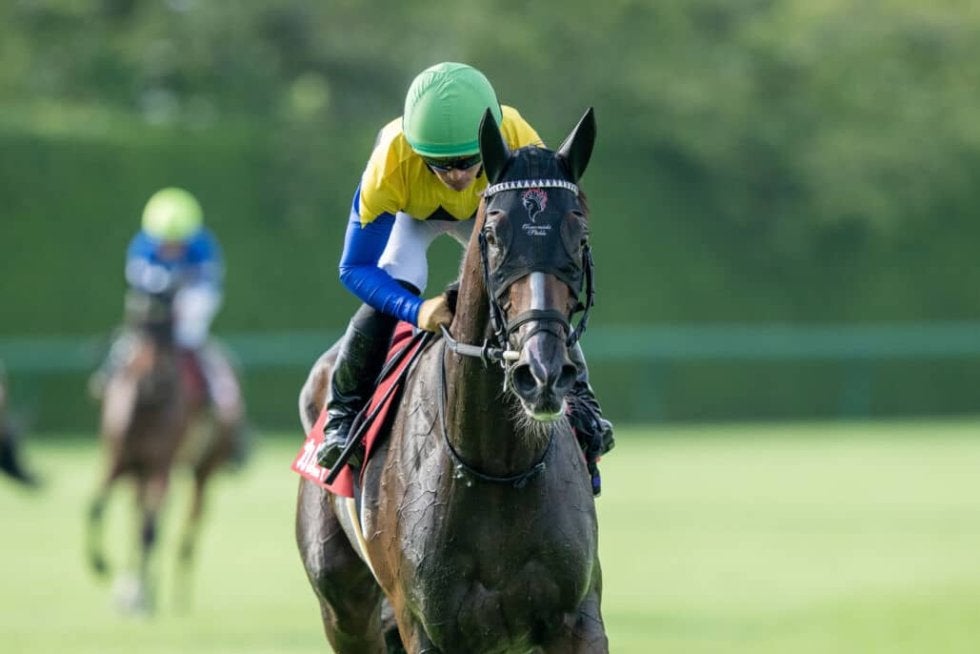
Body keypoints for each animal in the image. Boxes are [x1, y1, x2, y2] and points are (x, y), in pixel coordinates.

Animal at [86, 289, 246, 614]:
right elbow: (96, 507)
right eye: (140, 324)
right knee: (139, 515)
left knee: (190, 519)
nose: (155, 378)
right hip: (141, 473)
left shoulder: (161, 465)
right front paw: (102, 566)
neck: (146, 405)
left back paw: (176, 593)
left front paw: (140, 596)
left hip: (203, 469)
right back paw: (134, 586)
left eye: (170, 328)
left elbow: (149, 529)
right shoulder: (120, 461)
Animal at [296, 107, 607, 653]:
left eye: (580, 234)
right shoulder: (426, 628)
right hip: (344, 610)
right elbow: (360, 268)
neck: (498, 465)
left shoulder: (577, 617)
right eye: (494, 236)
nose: (542, 371)